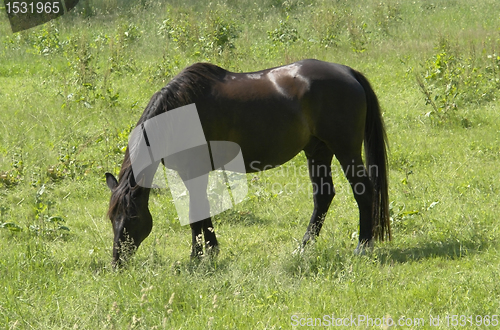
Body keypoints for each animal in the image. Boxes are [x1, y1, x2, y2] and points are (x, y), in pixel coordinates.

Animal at [103, 58, 388, 266]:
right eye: (111, 217)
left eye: (132, 216)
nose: (117, 261)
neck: (180, 112)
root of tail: (348, 72)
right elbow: (204, 209)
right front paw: (211, 250)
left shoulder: (193, 170)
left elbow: (196, 211)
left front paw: (197, 256)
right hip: (318, 151)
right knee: (323, 196)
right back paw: (304, 247)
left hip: (345, 150)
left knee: (364, 191)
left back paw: (363, 246)